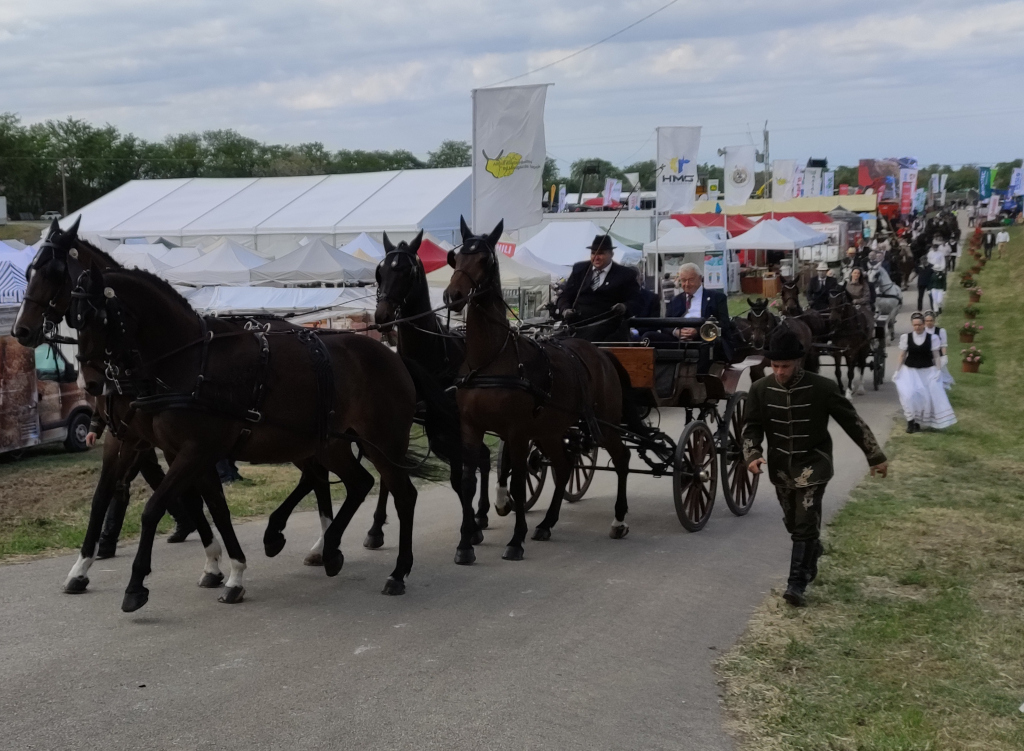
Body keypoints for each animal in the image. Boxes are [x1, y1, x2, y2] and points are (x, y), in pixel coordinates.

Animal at [446, 217, 634, 557]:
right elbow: (467, 482)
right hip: (550, 429)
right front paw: (466, 544)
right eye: (456, 258)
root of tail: (601, 352)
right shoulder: (471, 427)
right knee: (564, 465)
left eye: (484, 260)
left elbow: (519, 483)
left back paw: (618, 519)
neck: (491, 360)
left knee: (622, 458)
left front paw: (515, 541)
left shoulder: (517, 432)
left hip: (605, 424)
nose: (453, 295)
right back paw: (547, 523)